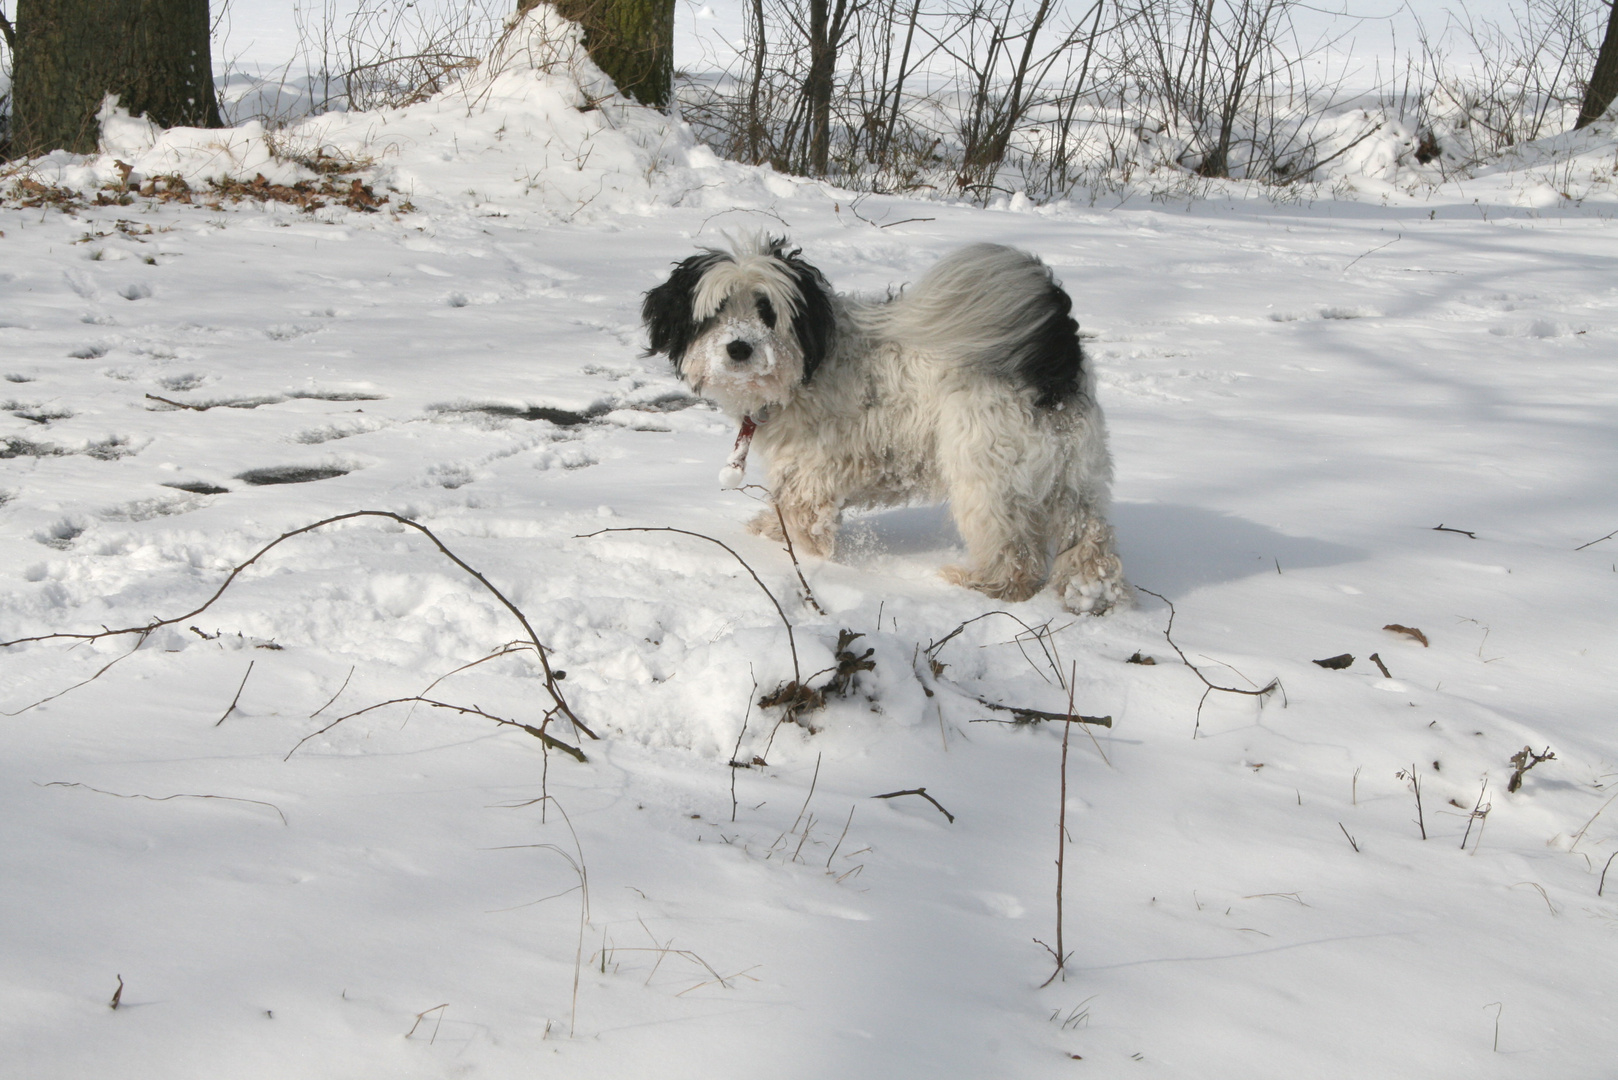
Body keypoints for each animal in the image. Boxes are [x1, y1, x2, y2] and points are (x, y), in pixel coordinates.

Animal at [640, 236, 1126, 615]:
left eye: (766, 310)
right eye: (716, 310)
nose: (739, 347)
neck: (813, 361)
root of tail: (1053, 357)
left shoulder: (811, 475)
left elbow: (803, 521)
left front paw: (798, 557)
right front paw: (769, 530)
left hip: (988, 475)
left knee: (1014, 552)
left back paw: (984, 586)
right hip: (1072, 475)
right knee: (1091, 538)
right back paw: (1088, 594)